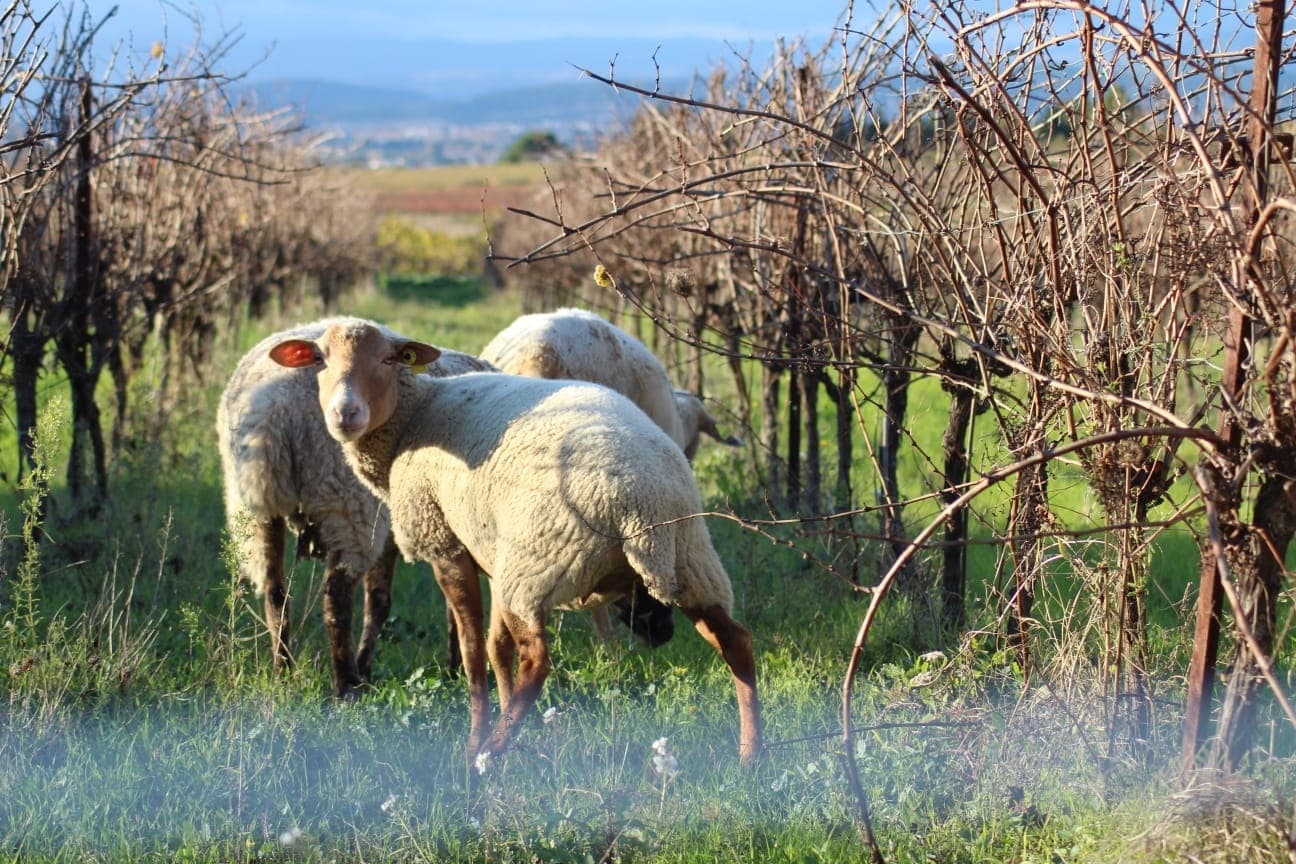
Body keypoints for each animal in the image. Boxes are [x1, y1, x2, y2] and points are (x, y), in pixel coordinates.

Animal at [217, 317, 494, 697]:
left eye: (387, 359)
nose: (345, 412)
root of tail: (274, 409)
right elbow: (382, 603)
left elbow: (380, 600)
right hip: (348, 506)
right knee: (335, 597)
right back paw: (346, 685)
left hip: (257, 508)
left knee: (275, 592)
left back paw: (283, 672)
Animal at [268, 317, 762, 765]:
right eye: (320, 360)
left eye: (389, 359)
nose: (344, 414)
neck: (416, 417)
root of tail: (643, 502)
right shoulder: (491, 554)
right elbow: (496, 647)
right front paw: (508, 730)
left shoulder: (446, 543)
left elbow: (473, 652)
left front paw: (477, 735)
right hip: (689, 561)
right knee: (736, 640)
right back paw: (750, 757)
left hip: (538, 563)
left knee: (538, 660)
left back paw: (486, 756)